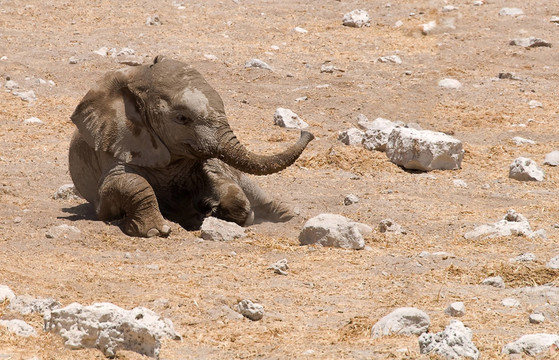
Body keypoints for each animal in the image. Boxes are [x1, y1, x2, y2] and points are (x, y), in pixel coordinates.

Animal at [68, 55, 316, 236]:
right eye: (182, 118)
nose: (308, 132)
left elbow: (226, 186)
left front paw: (212, 210)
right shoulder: (117, 146)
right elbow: (126, 182)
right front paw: (156, 230)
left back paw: (288, 218)